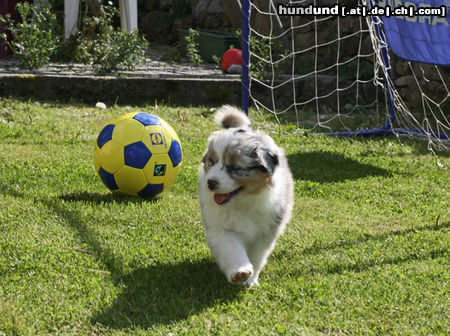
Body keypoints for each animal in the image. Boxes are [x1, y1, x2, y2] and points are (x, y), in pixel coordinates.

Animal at [199, 105, 294, 286]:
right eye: (211, 162)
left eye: (235, 167)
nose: (210, 182)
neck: (244, 202)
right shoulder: (222, 228)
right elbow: (231, 249)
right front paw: (240, 272)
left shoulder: (265, 233)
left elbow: (257, 257)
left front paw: (250, 281)